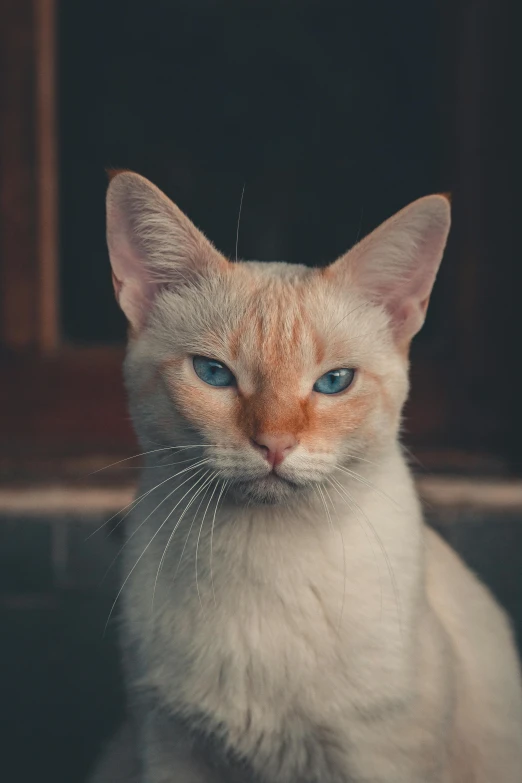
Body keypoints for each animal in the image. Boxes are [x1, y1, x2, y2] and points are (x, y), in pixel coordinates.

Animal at [89, 173, 520, 783]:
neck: (265, 559)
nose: (274, 444)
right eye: (213, 374)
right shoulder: (171, 751)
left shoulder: (379, 757)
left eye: (334, 382)